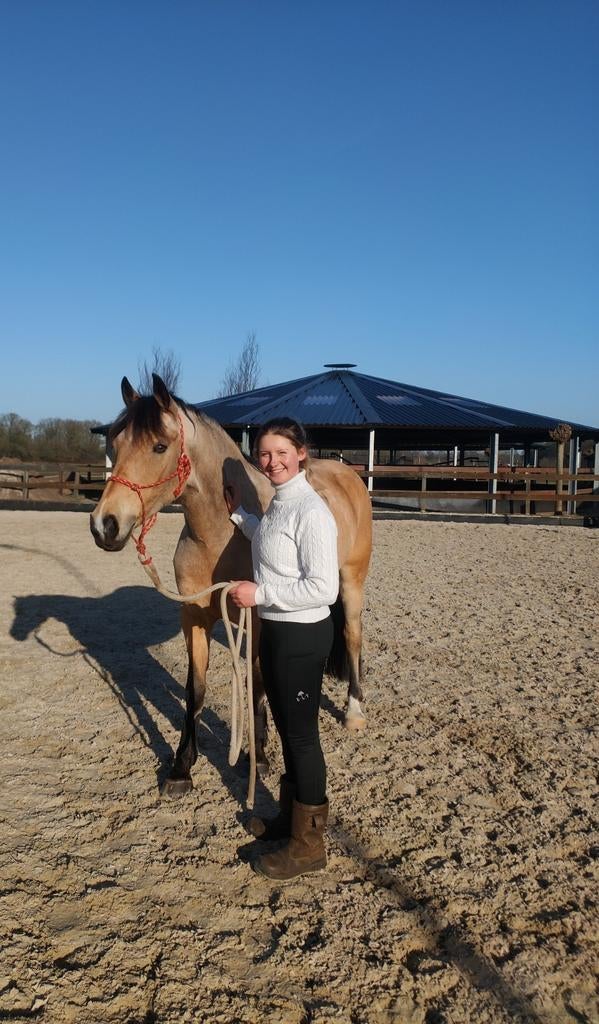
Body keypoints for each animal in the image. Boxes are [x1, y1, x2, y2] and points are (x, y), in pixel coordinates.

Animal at [90, 374, 372, 798]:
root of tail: (347, 473)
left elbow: (256, 683)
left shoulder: (258, 616)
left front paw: (260, 756)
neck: (219, 534)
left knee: (352, 637)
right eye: (115, 444)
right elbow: (196, 690)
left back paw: (353, 712)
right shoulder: (194, 617)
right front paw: (181, 768)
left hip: (352, 580)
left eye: (159, 446)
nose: (104, 525)